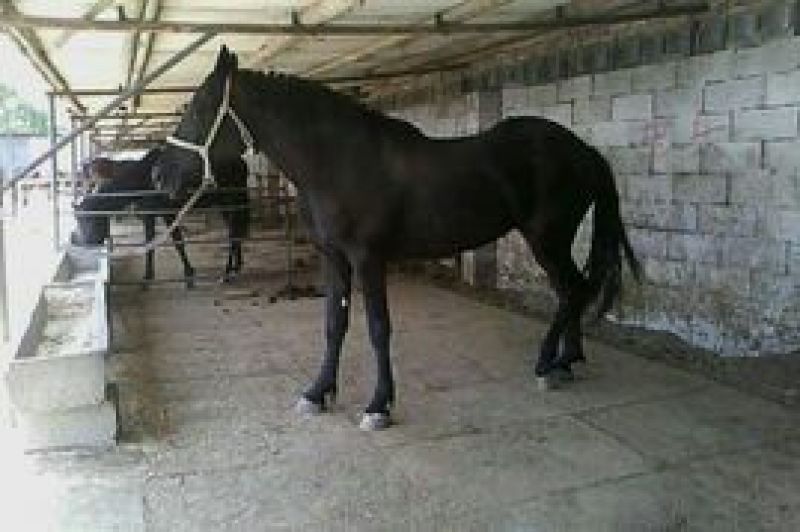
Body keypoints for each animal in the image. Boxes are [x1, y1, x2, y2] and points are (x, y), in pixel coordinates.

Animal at [71, 146, 251, 287]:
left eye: (87, 218)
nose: (82, 242)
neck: (143, 178)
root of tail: (241, 163)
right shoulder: (149, 215)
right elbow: (149, 244)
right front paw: (147, 277)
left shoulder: (168, 213)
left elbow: (178, 242)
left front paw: (189, 275)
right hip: (226, 205)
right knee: (235, 233)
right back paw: (236, 266)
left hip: (232, 202)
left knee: (234, 234)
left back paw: (227, 273)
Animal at [154, 46, 640, 431]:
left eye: (200, 108)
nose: (161, 177)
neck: (338, 162)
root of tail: (584, 150)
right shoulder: (334, 258)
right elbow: (334, 325)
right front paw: (318, 393)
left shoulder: (369, 259)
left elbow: (377, 328)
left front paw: (378, 406)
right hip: (550, 243)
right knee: (573, 291)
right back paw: (567, 362)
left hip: (548, 240)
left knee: (572, 290)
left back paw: (547, 364)